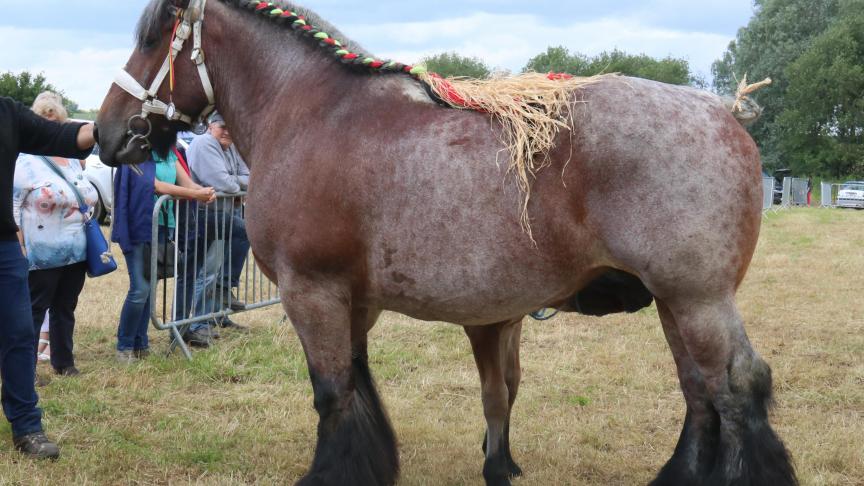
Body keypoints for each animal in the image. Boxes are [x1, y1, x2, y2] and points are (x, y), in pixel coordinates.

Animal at [94, 0, 796, 486]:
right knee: (701, 392)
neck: (312, 113)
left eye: (152, 37)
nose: (105, 134)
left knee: (737, 387)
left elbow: (332, 392)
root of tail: (725, 112)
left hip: (697, 299)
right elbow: (359, 385)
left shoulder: (310, 291)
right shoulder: (355, 301)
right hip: (675, 302)